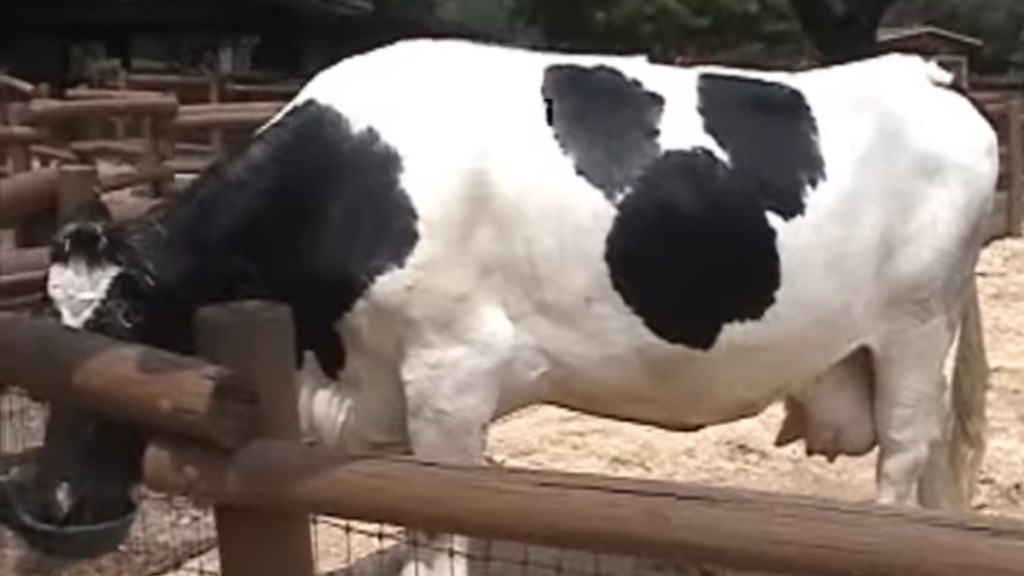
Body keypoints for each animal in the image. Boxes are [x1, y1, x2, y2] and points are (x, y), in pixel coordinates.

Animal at [29, 38, 991, 569]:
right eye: (52, 331)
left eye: (132, 321)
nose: (55, 507)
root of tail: (925, 76)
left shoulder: (451, 375)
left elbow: (439, 538)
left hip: (914, 329)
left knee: (901, 472)